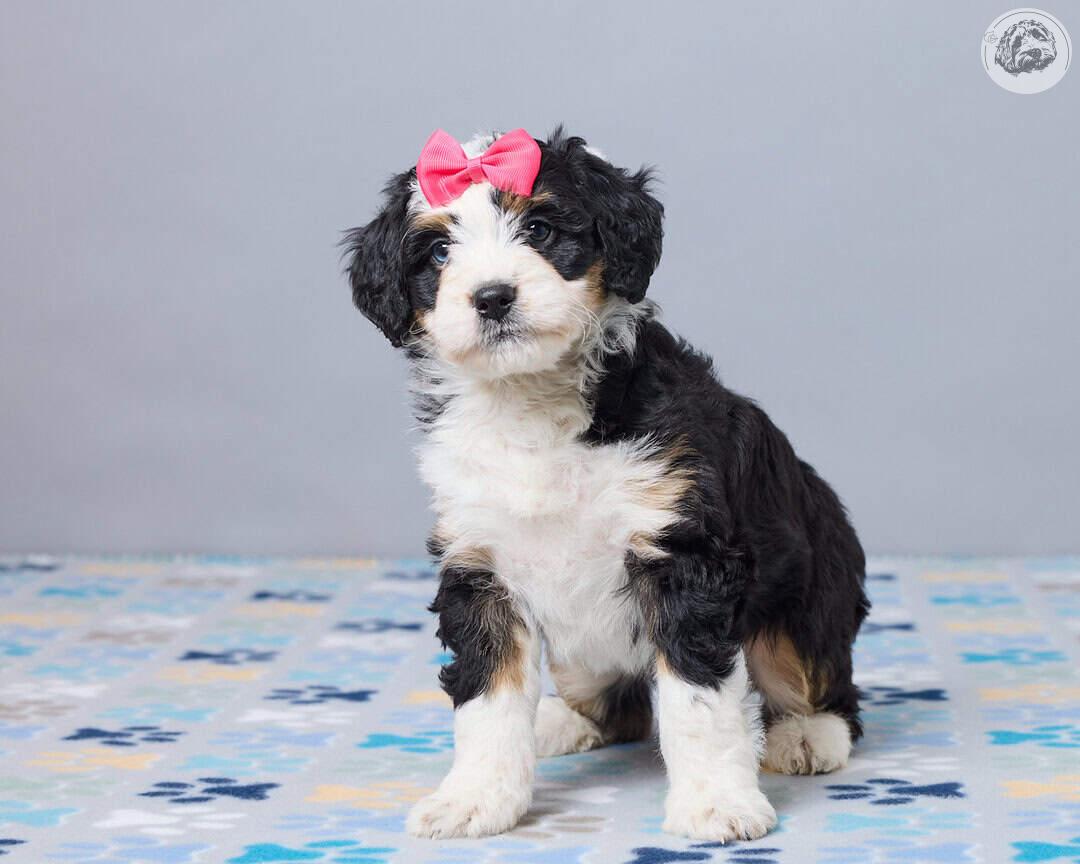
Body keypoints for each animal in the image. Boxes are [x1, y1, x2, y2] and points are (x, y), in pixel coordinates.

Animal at [344, 127, 869, 842]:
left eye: (538, 228)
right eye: (440, 253)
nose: (492, 297)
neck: (532, 402)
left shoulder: (683, 555)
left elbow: (698, 701)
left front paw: (716, 803)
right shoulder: (479, 567)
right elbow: (486, 699)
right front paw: (475, 799)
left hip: (803, 597)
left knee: (819, 680)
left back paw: (808, 735)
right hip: (584, 656)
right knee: (615, 706)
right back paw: (556, 722)